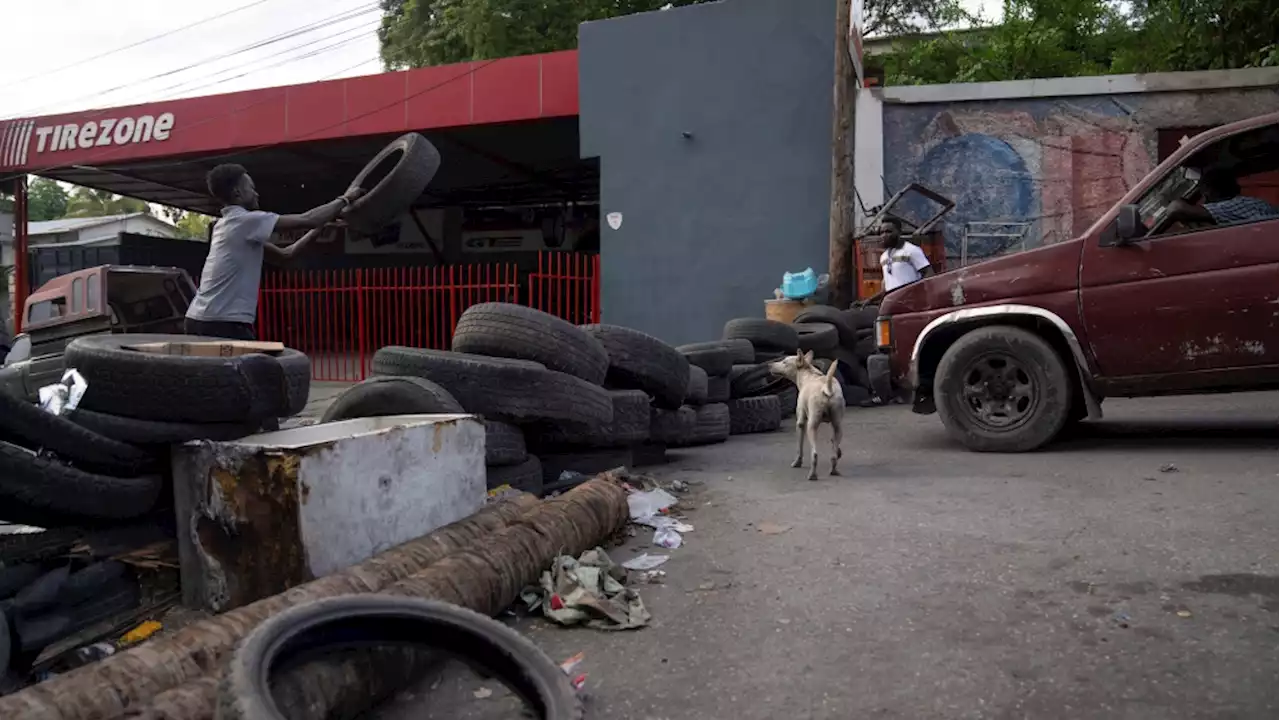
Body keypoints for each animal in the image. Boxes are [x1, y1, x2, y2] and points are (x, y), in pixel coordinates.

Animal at [768, 351, 839, 479]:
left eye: (784, 362)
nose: (769, 365)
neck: (808, 374)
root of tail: (827, 389)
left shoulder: (800, 423)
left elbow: (799, 448)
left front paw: (797, 462)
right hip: (838, 427)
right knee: (834, 455)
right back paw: (834, 470)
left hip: (812, 427)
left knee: (814, 454)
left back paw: (812, 475)